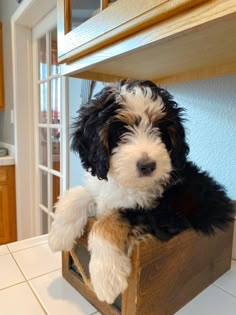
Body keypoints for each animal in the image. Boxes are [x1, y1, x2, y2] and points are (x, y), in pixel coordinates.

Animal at [48, 80, 234, 304]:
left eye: (160, 131)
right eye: (121, 131)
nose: (147, 166)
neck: (127, 183)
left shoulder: (163, 217)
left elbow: (108, 221)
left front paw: (106, 278)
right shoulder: (102, 191)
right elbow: (80, 194)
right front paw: (59, 234)